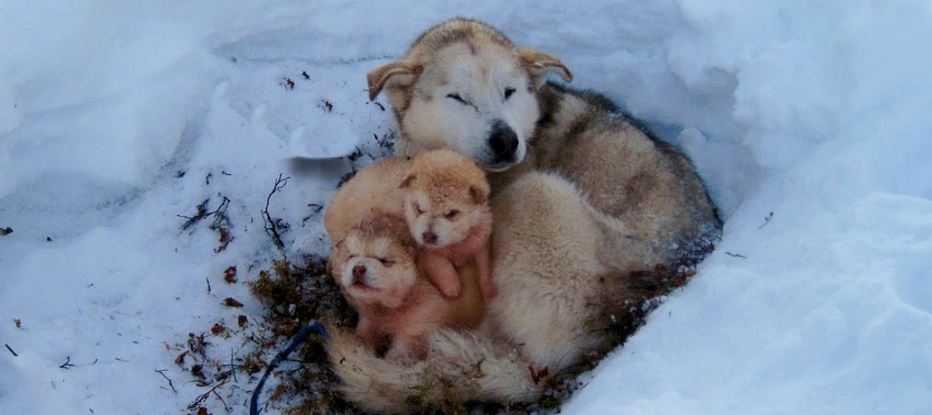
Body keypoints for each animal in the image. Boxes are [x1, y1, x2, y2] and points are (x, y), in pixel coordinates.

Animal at [398, 151, 496, 300]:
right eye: (419, 209)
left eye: (451, 214)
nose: (428, 236)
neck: (455, 244)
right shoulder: (427, 253)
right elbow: (442, 265)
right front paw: (451, 287)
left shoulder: (481, 245)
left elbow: (485, 269)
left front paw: (490, 292)